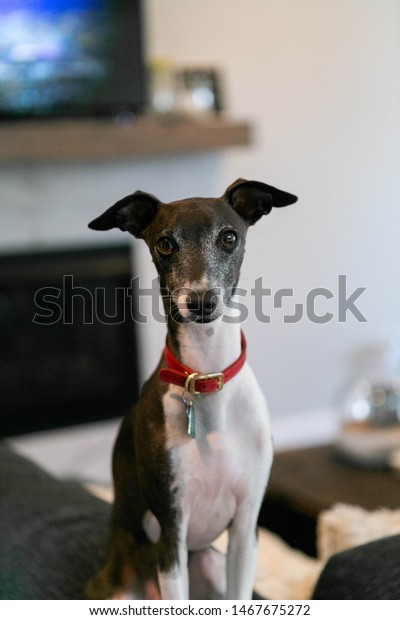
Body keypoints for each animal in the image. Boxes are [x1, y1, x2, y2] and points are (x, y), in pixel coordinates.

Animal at [87, 179, 298, 600]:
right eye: (165, 243)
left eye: (229, 237)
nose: (201, 302)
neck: (206, 377)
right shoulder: (171, 530)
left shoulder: (245, 529)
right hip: (122, 584)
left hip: (211, 563)